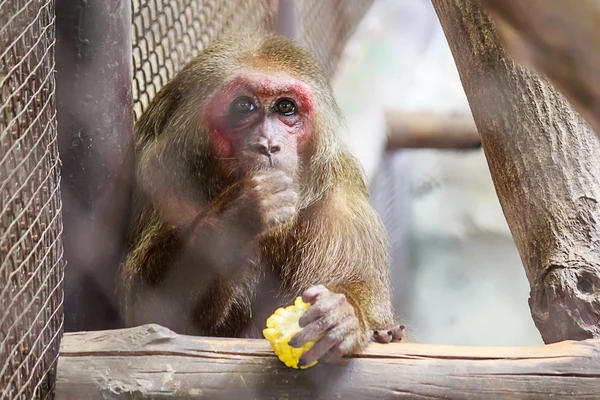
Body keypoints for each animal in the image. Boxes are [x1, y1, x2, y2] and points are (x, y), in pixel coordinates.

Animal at [118, 32, 404, 368]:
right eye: (244, 106)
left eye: (285, 107)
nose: (268, 144)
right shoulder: (160, 173)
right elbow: (147, 315)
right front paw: (236, 217)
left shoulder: (340, 192)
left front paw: (344, 314)